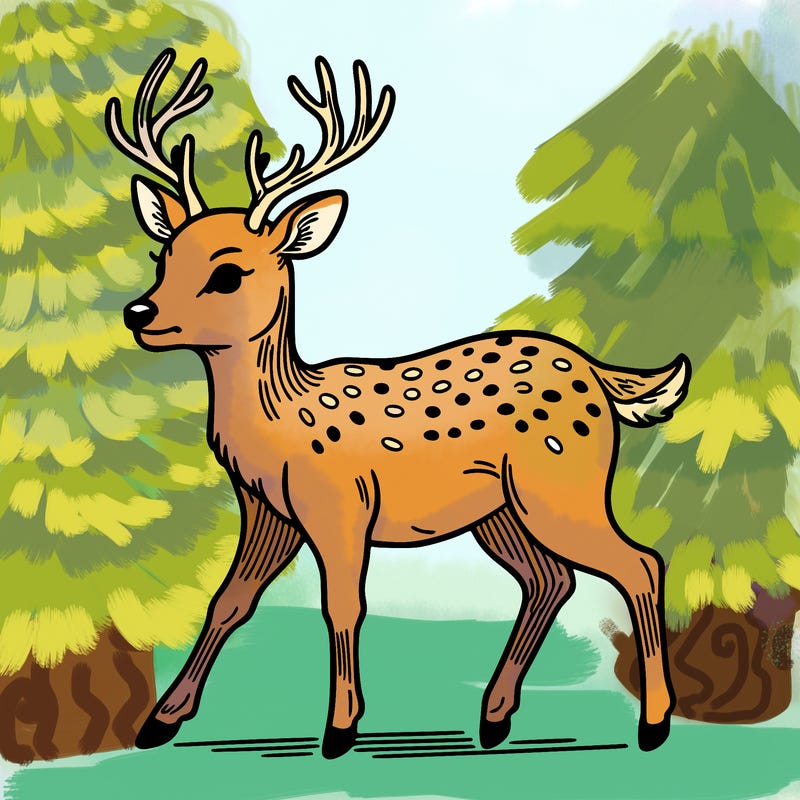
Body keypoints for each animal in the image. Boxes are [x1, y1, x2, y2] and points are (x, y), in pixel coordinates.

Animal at [107, 49, 687, 758]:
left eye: (228, 272)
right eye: (163, 253)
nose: (139, 314)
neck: (279, 422)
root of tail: (599, 375)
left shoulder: (340, 505)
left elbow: (342, 605)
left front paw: (339, 729)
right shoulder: (267, 510)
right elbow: (229, 600)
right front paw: (161, 720)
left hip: (561, 486)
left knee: (640, 563)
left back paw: (653, 724)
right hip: (500, 511)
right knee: (551, 579)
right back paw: (494, 718)